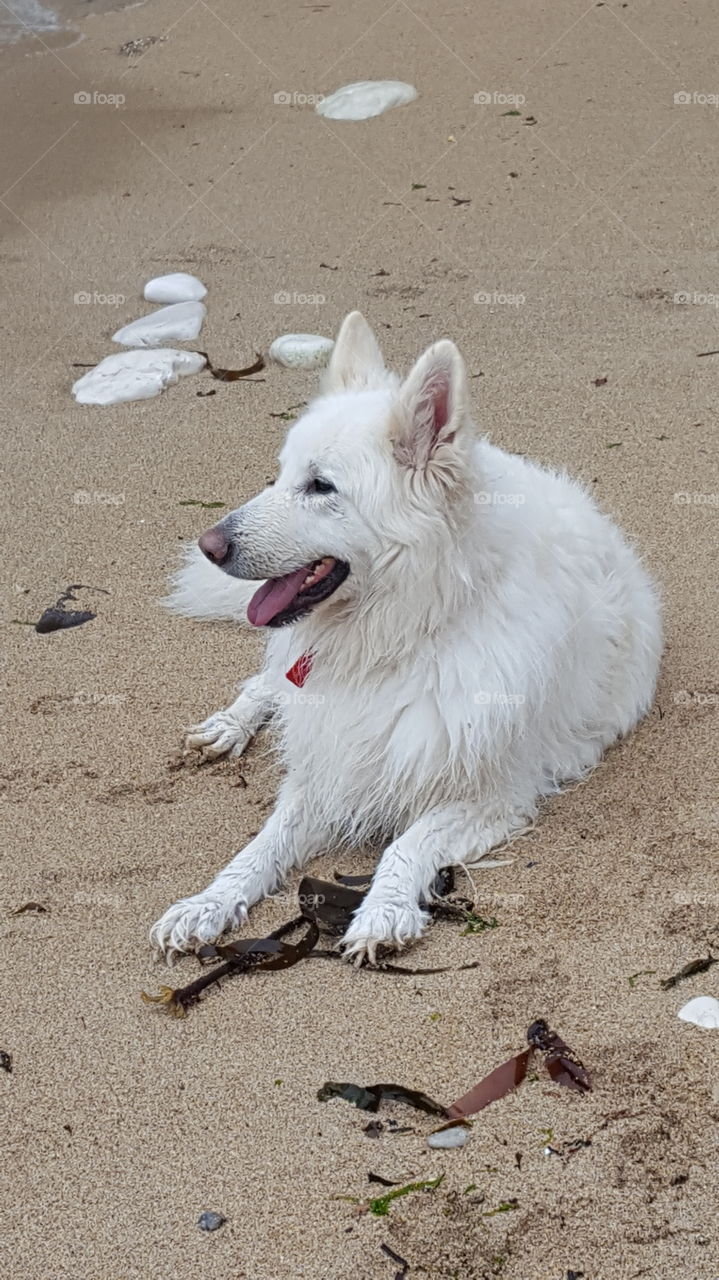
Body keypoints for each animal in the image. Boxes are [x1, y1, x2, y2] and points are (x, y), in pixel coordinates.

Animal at [149, 314, 660, 962]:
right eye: (281, 475)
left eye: (320, 486)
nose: (209, 545)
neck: (405, 634)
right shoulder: (327, 766)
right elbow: (260, 846)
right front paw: (208, 904)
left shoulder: (492, 795)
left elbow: (407, 843)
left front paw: (383, 909)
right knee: (266, 682)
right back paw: (229, 724)